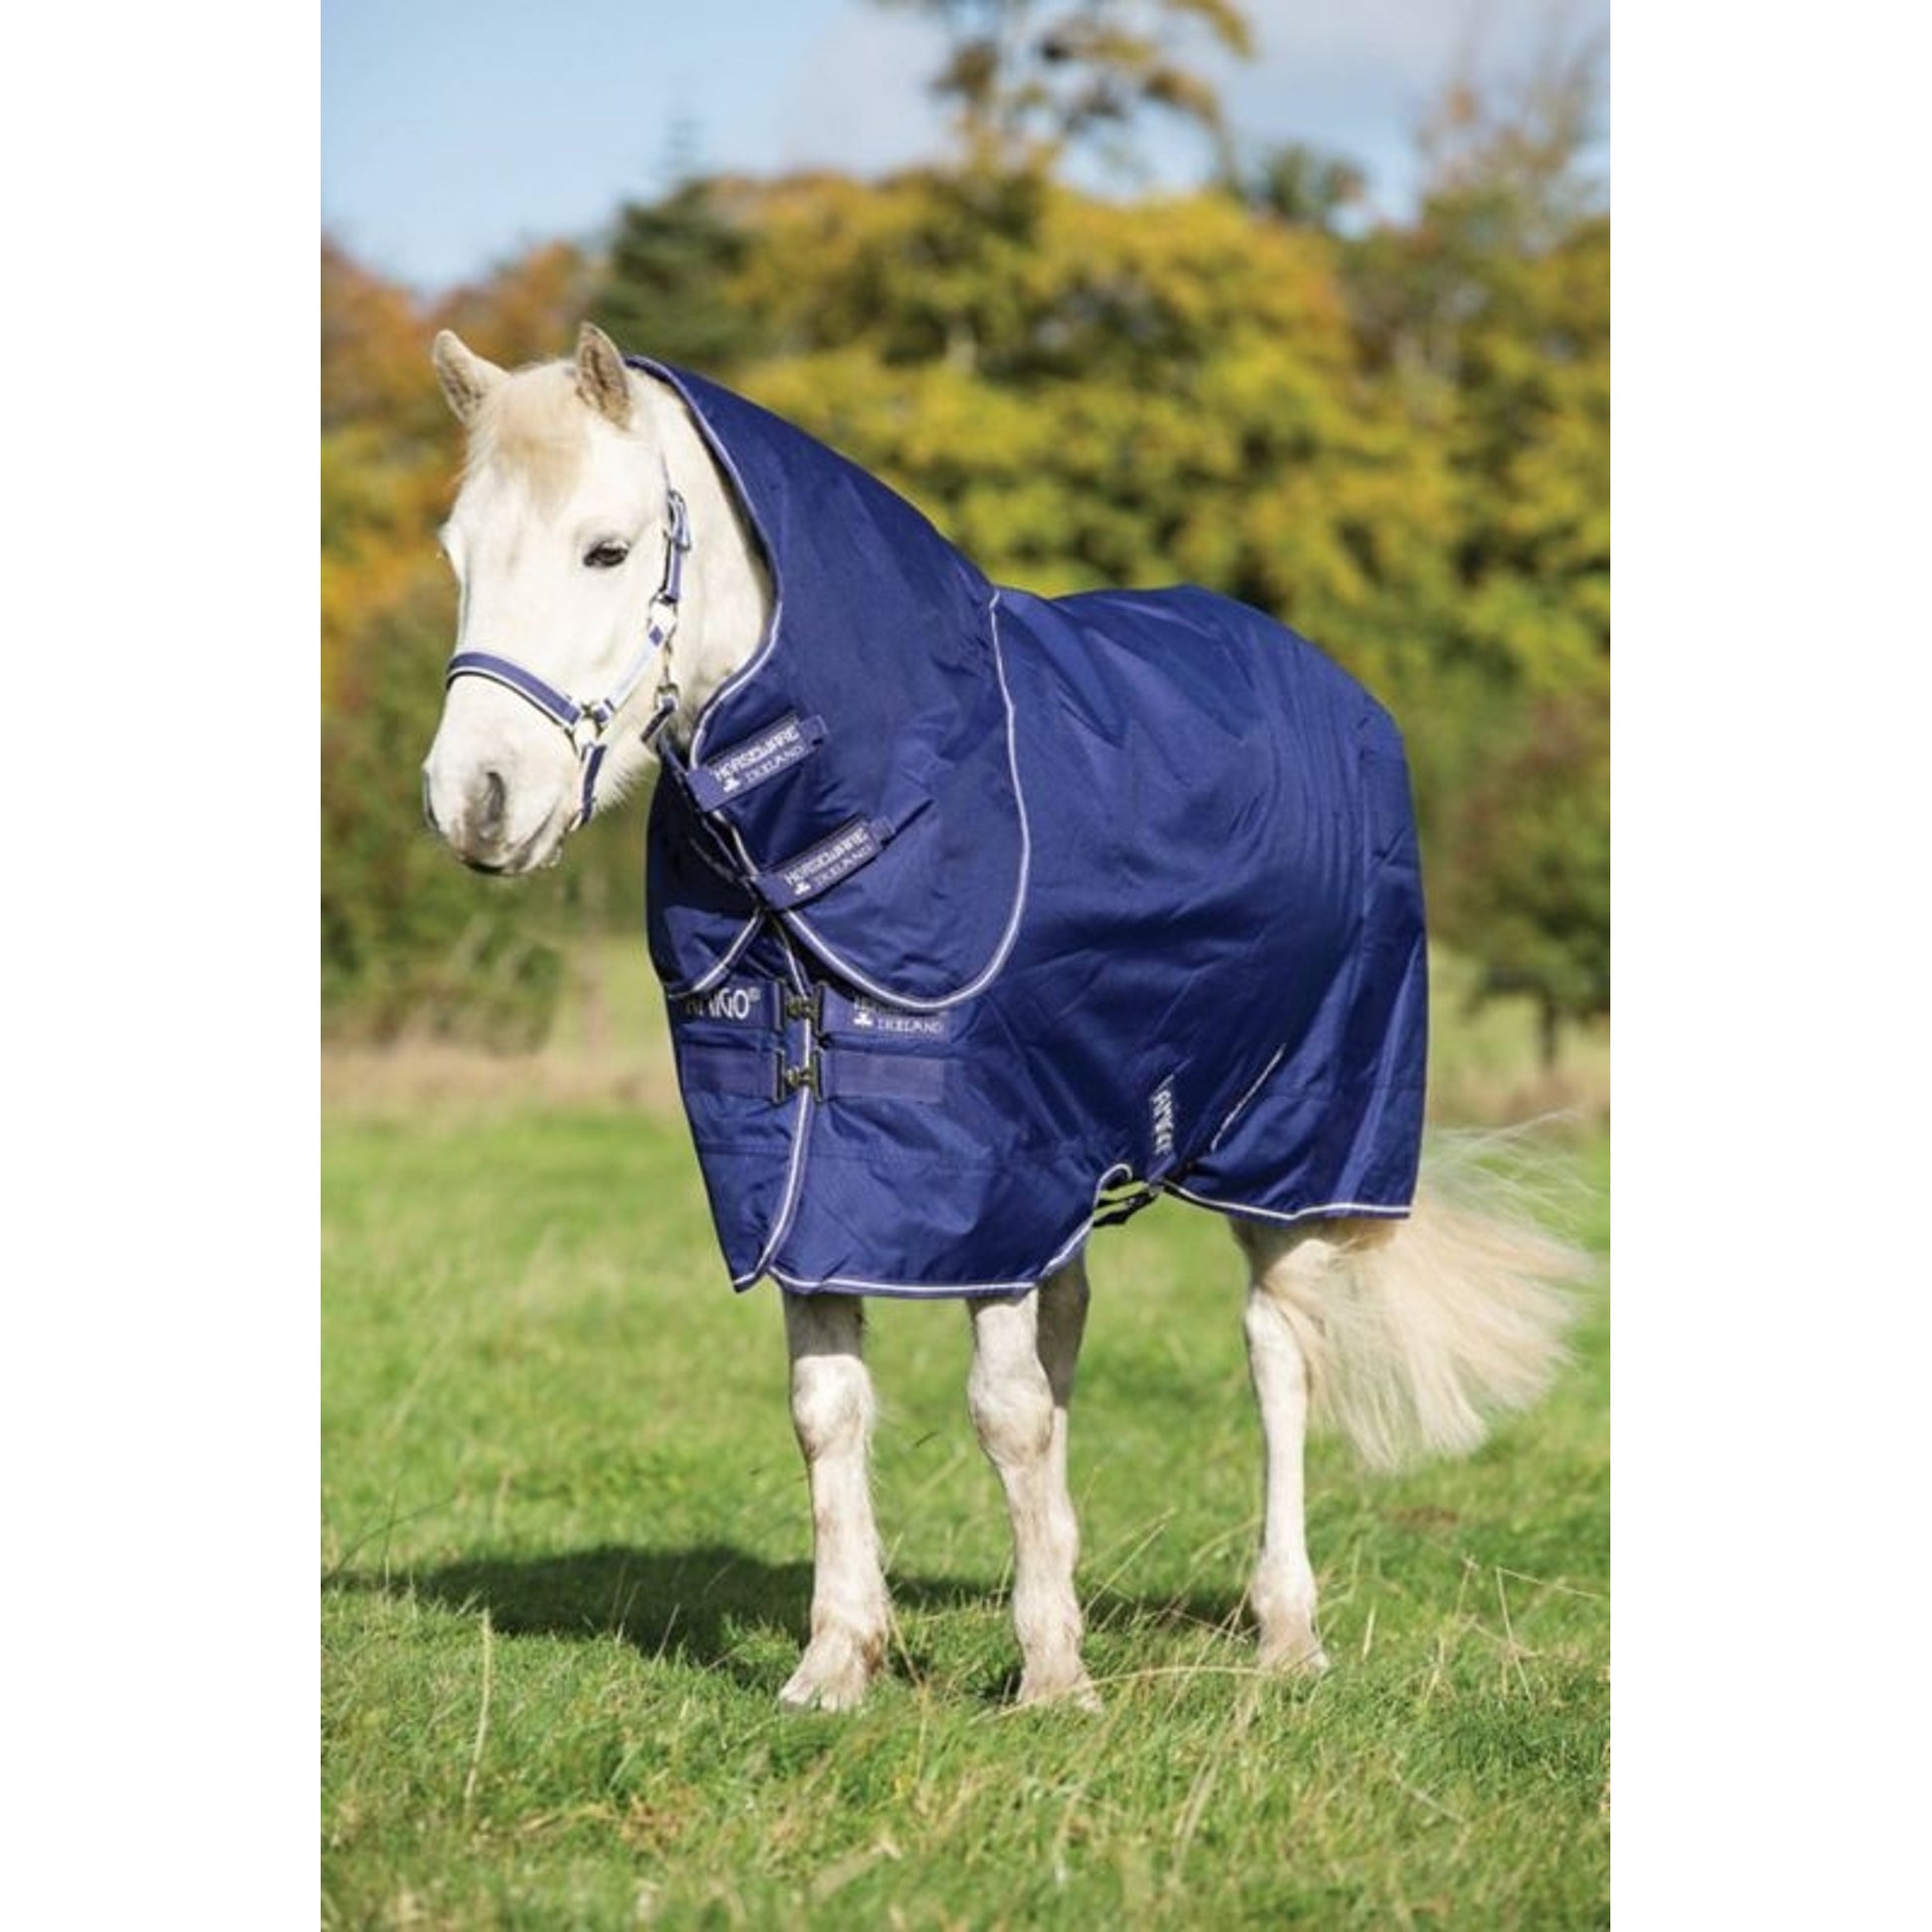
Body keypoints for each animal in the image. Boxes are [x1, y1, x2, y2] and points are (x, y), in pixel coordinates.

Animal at [420, 322, 1582, 1712]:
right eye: (455, 553)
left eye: (605, 549)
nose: (473, 802)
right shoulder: (815, 1182)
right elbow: (833, 1405)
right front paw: (837, 1660)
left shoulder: (988, 1181)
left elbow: (1002, 1410)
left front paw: (1052, 1680)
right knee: (1077, 1338)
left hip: (1295, 1144)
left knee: (1275, 1352)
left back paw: (1285, 1630)